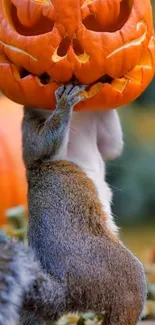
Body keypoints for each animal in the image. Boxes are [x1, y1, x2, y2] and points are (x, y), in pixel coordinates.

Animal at [0, 85, 147, 324]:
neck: (79, 116)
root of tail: (63, 292)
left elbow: (112, 146)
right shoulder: (28, 129)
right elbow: (41, 146)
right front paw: (64, 103)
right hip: (118, 272)